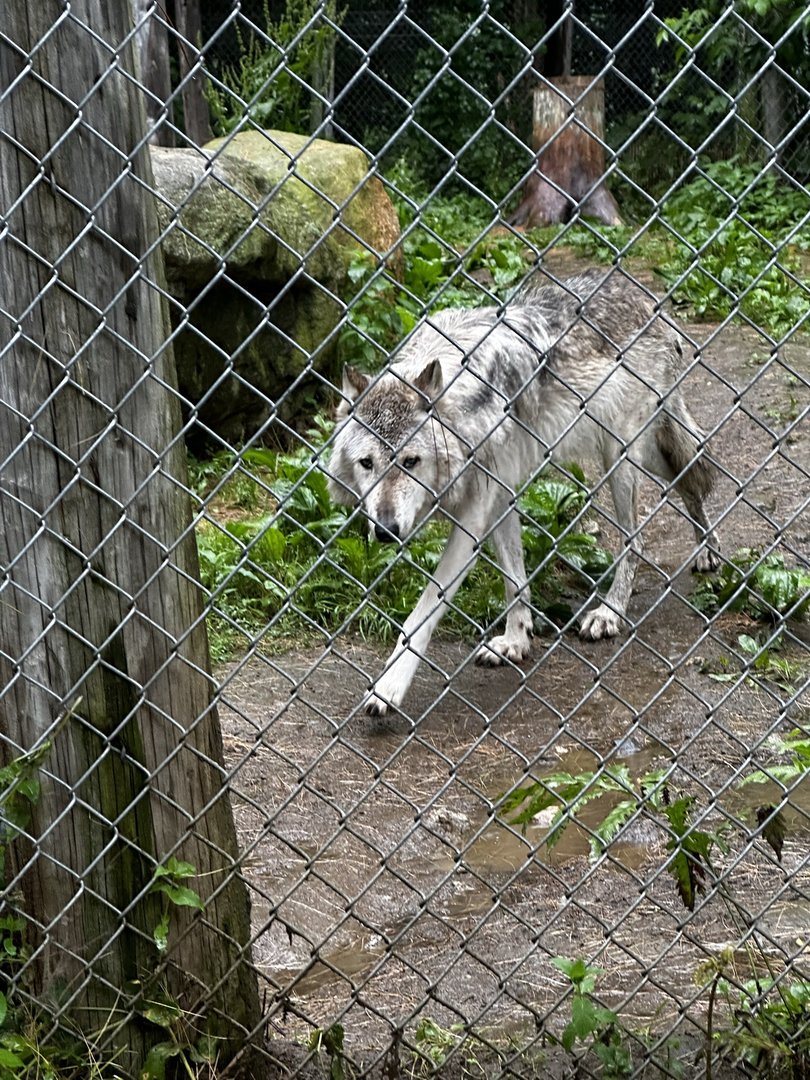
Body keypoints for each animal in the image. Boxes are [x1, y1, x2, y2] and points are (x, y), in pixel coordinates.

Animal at [327, 270, 720, 717]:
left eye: (411, 461)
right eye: (367, 463)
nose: (386, 531)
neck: (462, 409)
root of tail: (646, 296)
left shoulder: (473, 516)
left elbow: (424, 611)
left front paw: (388, 687)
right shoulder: (501, 496)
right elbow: (513, 579)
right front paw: (516, 641)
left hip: (619, 457)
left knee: (636, 538)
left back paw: (610, 612)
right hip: (642, 451)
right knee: (690, 480)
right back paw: (707, 549)